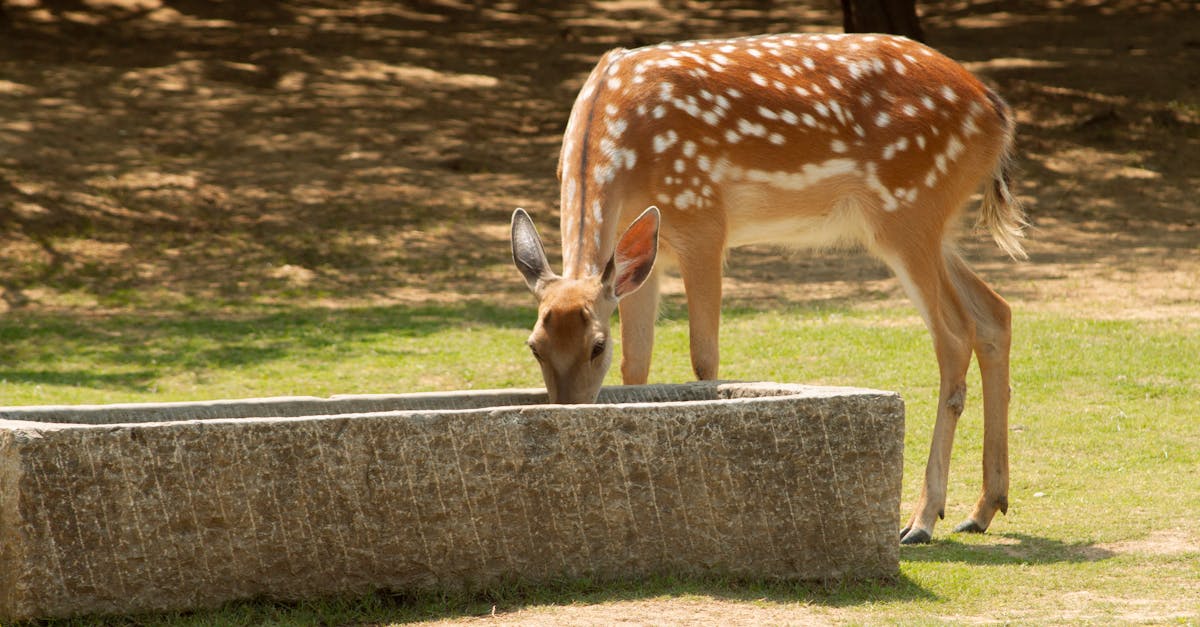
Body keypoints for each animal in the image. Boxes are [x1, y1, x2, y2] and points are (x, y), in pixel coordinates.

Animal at [511, 32, 1027, 540]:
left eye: (597, 346)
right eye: (534, 346)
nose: (567, 413)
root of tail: (996, 112)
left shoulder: (702, 219)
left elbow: (704, 358)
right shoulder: (645, 261)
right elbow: (636, 366)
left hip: (909, 207)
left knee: (955, 336)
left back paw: (921, 520)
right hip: (924, 224)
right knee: (994, 313)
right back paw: (983, 508)